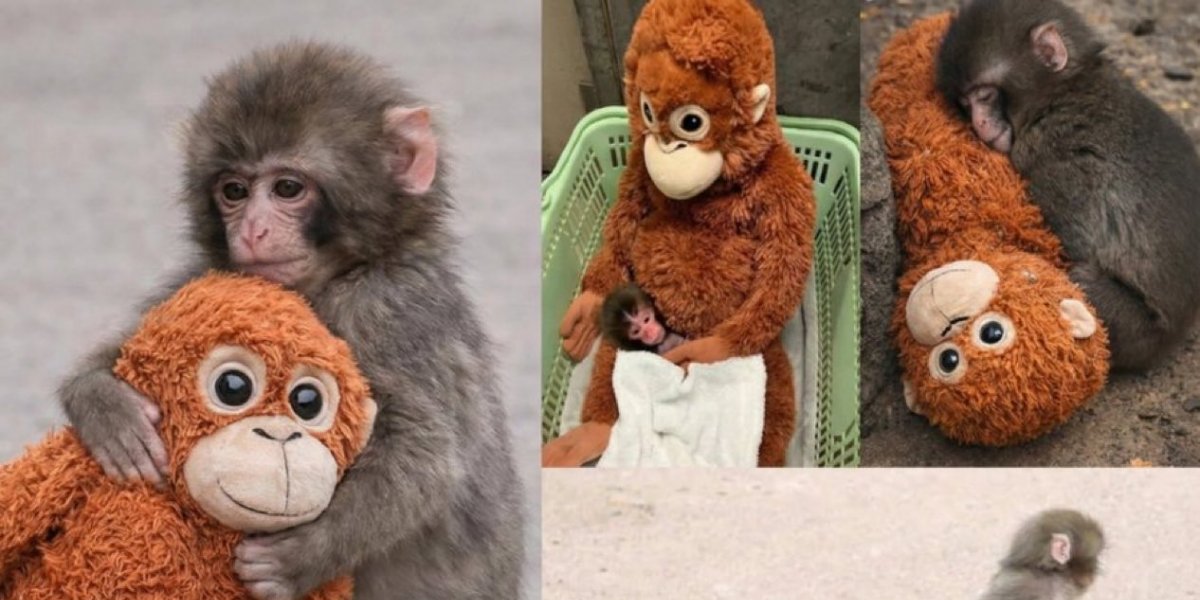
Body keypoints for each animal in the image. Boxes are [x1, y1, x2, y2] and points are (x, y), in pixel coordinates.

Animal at [55, 43, 523, 599]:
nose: (253, 230)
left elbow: (426, 455)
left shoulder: (391, 309)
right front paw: (106, 406)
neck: (336, 275)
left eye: (287, 188)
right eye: (234, 190)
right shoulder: (211, 278)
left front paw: (298, 559)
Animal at [937, 0, 1200, 371]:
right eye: (965, 103)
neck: (1064, 91)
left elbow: (1073, 242)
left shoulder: (1059, 161)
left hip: (1133, 326)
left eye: (985, 96)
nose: (979, 124)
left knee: (1079, 281)